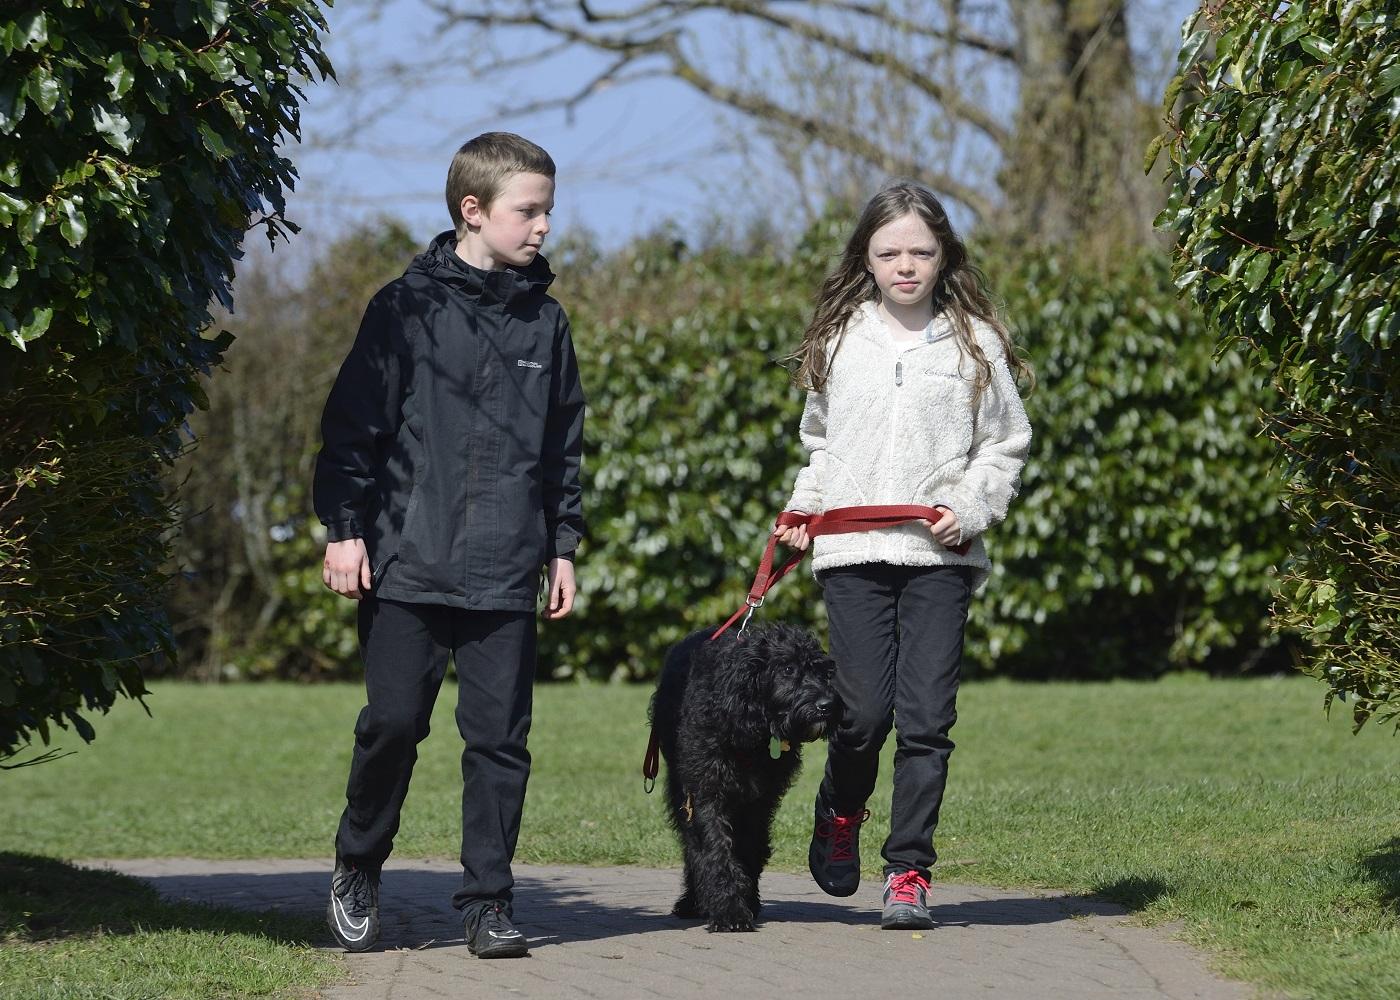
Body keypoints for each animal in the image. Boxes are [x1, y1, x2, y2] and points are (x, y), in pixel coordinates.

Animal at [646, 619, 834, 929]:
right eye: (787, 669)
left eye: (820, 671)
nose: (827, 706)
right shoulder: (705, 792)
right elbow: (715, 849)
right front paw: (729, 910)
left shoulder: (760, 802)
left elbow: (750, 848)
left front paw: (747, 900)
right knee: (691, 846)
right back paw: (692, 901)